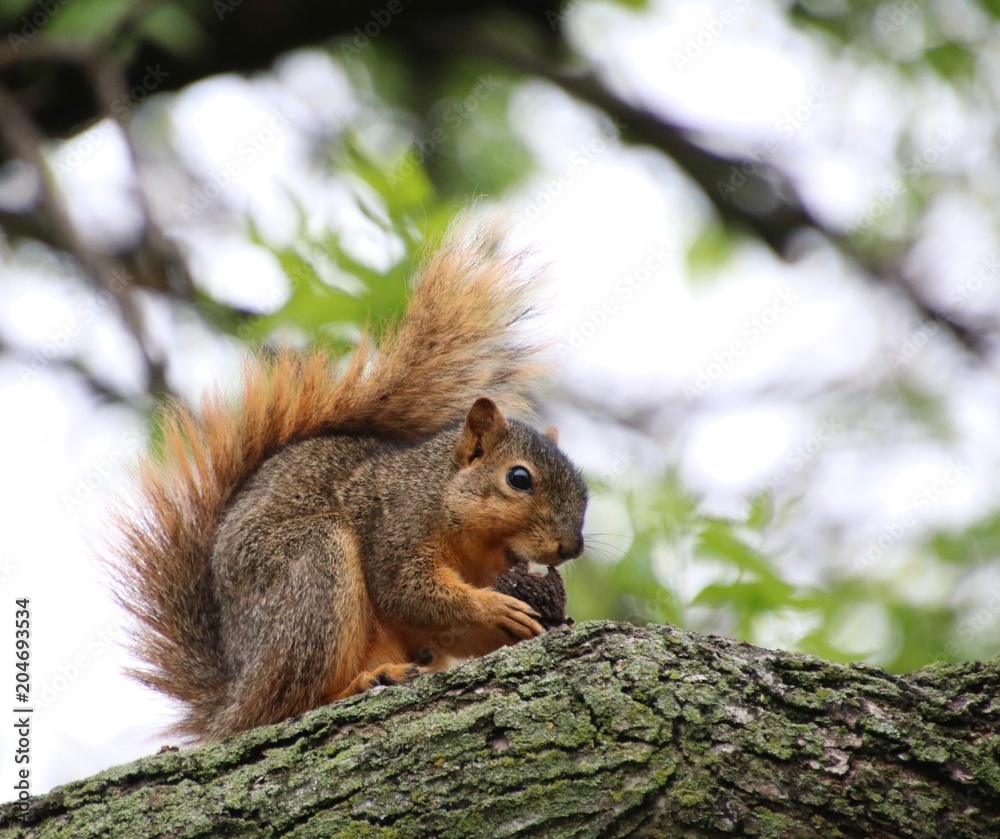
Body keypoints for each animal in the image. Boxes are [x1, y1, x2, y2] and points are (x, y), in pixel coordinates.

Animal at [107, 221, 588, 743]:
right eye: (519, 478)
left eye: (584, 491)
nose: (570, 548)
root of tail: (233, 700)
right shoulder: (396, 527)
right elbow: (409, 591)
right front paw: (492, 607)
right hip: (311, 574)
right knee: (288, 704)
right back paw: (361, 682)